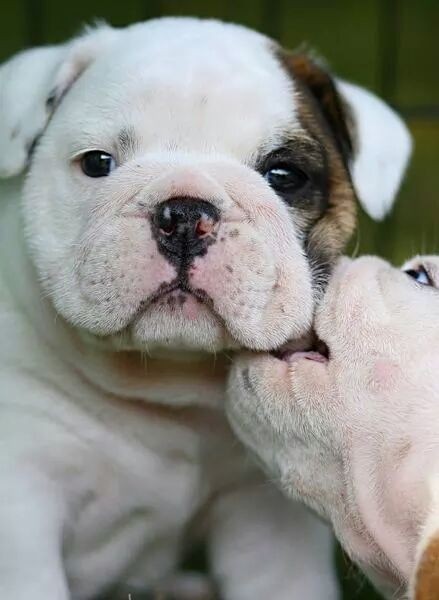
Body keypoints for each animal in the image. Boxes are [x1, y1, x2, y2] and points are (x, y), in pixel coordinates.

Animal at [0, 16, 412, 596]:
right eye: (98, 164)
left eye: (284, 175)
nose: (184, 214)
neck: (167, 384)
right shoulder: (20, 506)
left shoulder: (270, 525)